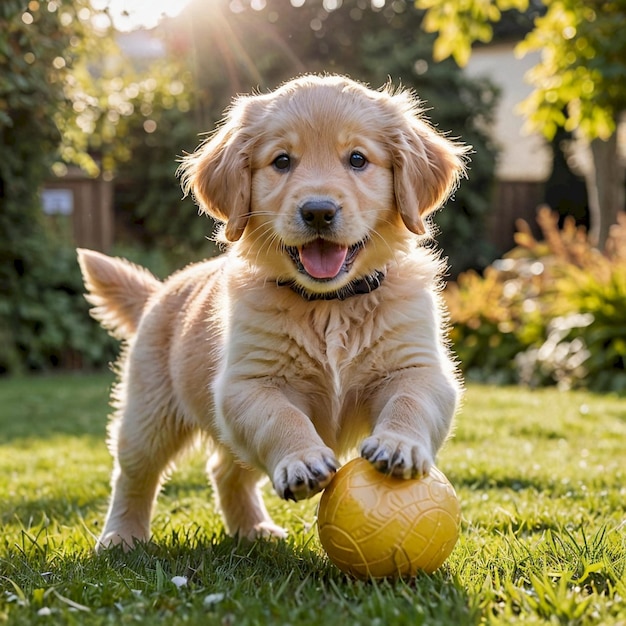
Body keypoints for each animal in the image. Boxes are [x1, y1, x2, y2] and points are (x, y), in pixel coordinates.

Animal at [78, 75, 468, 548]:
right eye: (282, 161)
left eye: (358, 159)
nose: (318, 211)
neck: (329, 304)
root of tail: (160, 291)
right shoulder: (248, 383)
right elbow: (281, 418)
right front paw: (302, 460)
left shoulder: (417, 366)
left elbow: (411, 400)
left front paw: (398, 446)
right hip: (148, 411)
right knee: (134, 473)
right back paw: (122, 535)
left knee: (225, 470)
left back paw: (253, 529)